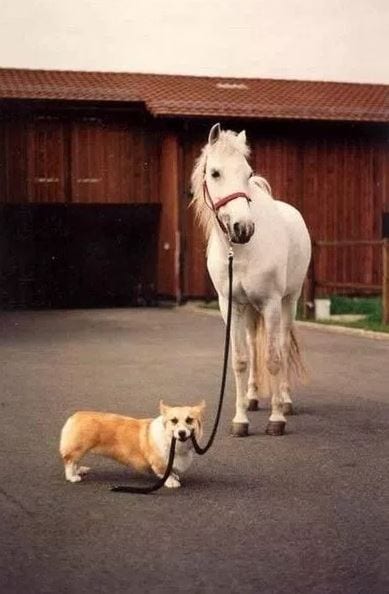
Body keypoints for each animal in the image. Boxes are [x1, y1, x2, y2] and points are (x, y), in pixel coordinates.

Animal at [59, 398, 205, 486]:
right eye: (174, 420)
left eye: (189, 420)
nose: (182, 433)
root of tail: (74, 417)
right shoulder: (158, 463)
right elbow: (164, 472)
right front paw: (171, 482)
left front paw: (174, 476)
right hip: (78, 449)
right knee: (69, 462)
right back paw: (72, 477)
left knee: (74, 463)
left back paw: (79, 471)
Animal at [189, 123, 310, 434]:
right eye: (215, 173)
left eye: (248, 173)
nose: (242, 228)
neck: (242, 251)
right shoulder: (230, 305)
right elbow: (241, 360)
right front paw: (240, 419)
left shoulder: (271, 303)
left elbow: (273, 358)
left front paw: (276, 420)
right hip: (251, 310)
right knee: (254, 348)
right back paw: (253, 398)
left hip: (289, 301)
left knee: (281, 346)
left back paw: (285, 401)